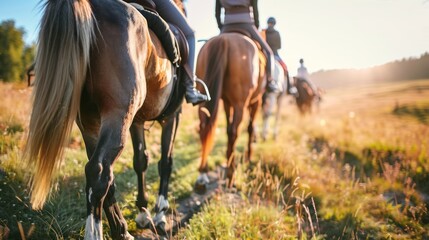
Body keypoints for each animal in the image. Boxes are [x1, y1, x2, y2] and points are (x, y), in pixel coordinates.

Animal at [22, 0, 186, 238]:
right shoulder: (172, 116)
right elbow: (165, 162)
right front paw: (159, 214)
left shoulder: (136, 121)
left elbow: (140, 161)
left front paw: (143, 211)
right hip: (117, 116)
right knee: (98, 172)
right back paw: (100, 232)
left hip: (91, 123)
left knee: (103, 176)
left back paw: (121, 230)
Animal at [194, 32, 264, 189]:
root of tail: (224, 39)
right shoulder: (255, 102)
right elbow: (250, 128)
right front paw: (248, 156)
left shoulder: (227, 103)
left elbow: (226, 127)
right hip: (240, 104)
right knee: (234, 132)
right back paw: (230, 176)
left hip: (203, 98)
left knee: (204, 128)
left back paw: (203, 174)